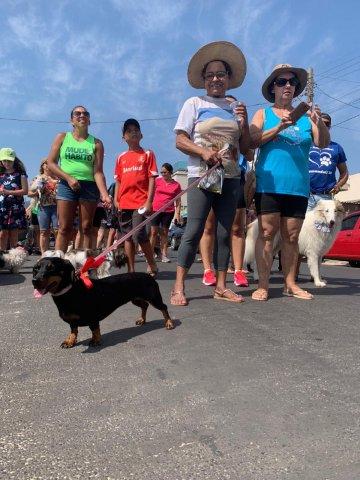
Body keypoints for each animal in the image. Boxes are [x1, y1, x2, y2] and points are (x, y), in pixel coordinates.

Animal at [33, 256, 174, 346]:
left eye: (51, 268)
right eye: (36, 269)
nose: (35, 281)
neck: (70, 291)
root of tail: (149, 275)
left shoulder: (93, 317)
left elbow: (95, 330)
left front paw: (96, 340)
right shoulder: (72, 321)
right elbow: (73, 331)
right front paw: (70, 341)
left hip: (154, 298)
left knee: (164, 307)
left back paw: (169, 323)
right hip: (136, 299)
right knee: (144, 306)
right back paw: (142, 320)